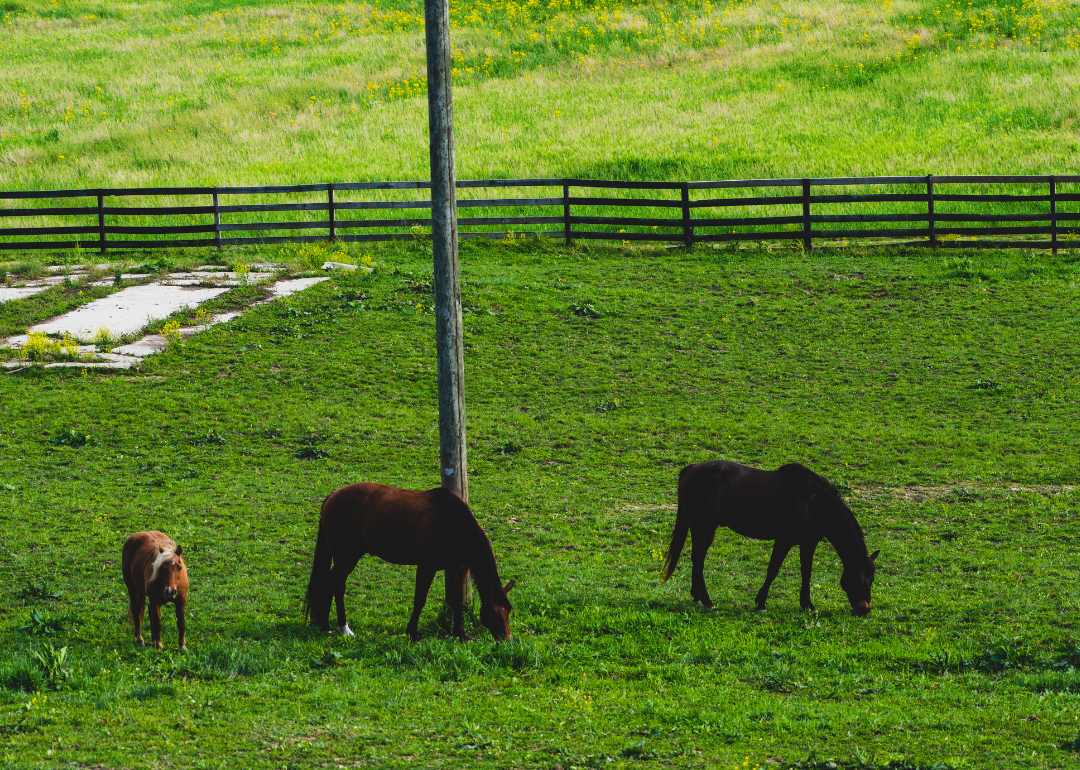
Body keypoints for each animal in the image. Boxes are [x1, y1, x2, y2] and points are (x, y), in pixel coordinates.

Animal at [302, 483, 516, 639]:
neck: (453, 524)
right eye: (494, 613)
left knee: (329, 582)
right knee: (338, 586)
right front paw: (411, 632)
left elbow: (457, 600)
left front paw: (460, 633)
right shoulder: (426, 566)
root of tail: (333, 495)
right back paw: (344, 628)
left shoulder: (459, 567)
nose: (507, 640)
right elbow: (420, 599)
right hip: (345, 557)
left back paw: (324, 623)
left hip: (348, 558)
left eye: (508, 611)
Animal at [656, 460, 876, 617]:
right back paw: (708, 601)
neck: (813, 502)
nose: (865, 609)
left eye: (872, 579)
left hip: (705, 529)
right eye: (859, 579)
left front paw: (808, 604)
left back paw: (698, 597)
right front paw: (761, 602)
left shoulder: (808, 542)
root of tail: (691, 469)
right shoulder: (784, 540)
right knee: (699, 560)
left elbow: (806, 572)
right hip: (702, 527)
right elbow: (773, 570)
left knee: (697, 559)